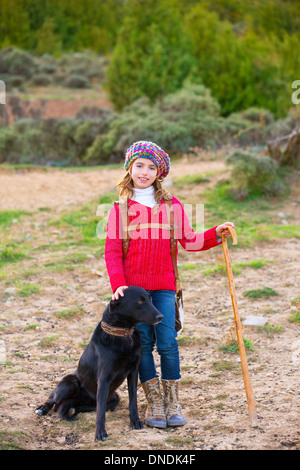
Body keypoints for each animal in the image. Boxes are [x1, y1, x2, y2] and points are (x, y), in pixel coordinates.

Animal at [35, 284, 163, 442]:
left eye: (150, 299)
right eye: (140, 301)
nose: (161, 317)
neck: (123, 334)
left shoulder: (133, 373)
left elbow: (132, 400)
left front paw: (135, 421)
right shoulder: (104, 378)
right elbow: (101, 411)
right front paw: (100, 433)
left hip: (112, 399)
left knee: (77, 406)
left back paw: (71, 408)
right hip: (70, 384)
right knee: (53, 399)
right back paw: (42, 408)